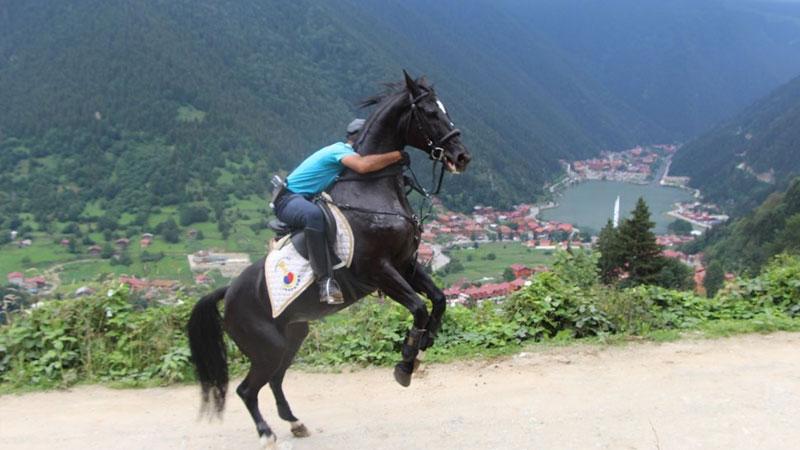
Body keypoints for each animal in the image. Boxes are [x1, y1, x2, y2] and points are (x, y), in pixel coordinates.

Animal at [188, 72, 472, 448]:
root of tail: (228, 292)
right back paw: (266, 433)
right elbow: (419, 307)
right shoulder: (379, 270)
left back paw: (294, 423)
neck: (371, 189)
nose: (461, 156)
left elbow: (438, 300)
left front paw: (425, 341)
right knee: (247, 389)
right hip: (267, 346)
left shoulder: (406, 263)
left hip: (292, 336)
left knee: (274, 380)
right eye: (428, 112)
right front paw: (405, 364)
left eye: (445, 109)